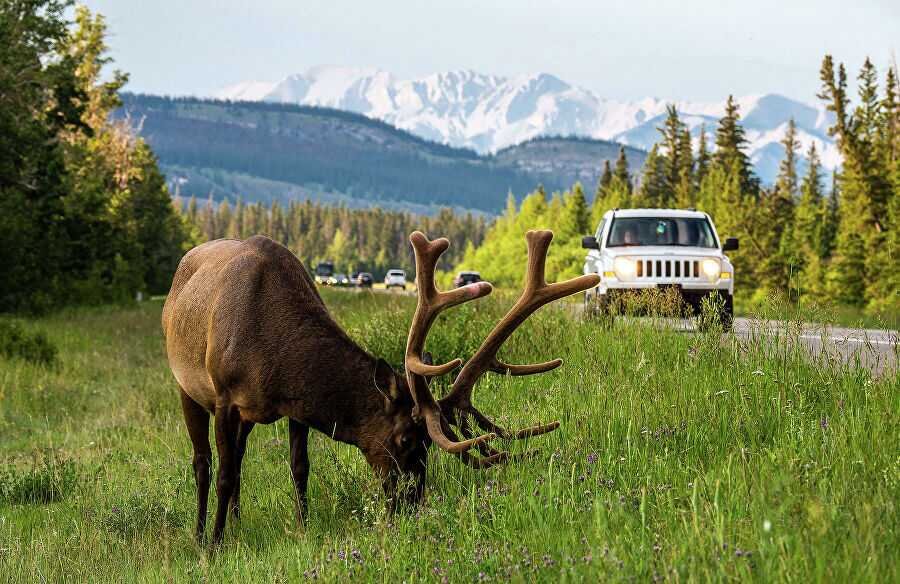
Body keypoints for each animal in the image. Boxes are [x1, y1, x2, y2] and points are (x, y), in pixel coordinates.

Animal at [162, 229, 596, 544]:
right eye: (405, 439)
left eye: (428, 445)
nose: (412, 504)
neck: (274, 354)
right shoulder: (224, 398)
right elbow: (223, 474)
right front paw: (213, 545)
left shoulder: (292, 406)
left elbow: (298, 467)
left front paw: (302, 529)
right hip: (187, 388)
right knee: (204, 462)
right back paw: (202, 534)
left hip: (245, 416)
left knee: (237, 455)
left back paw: (235, 521)